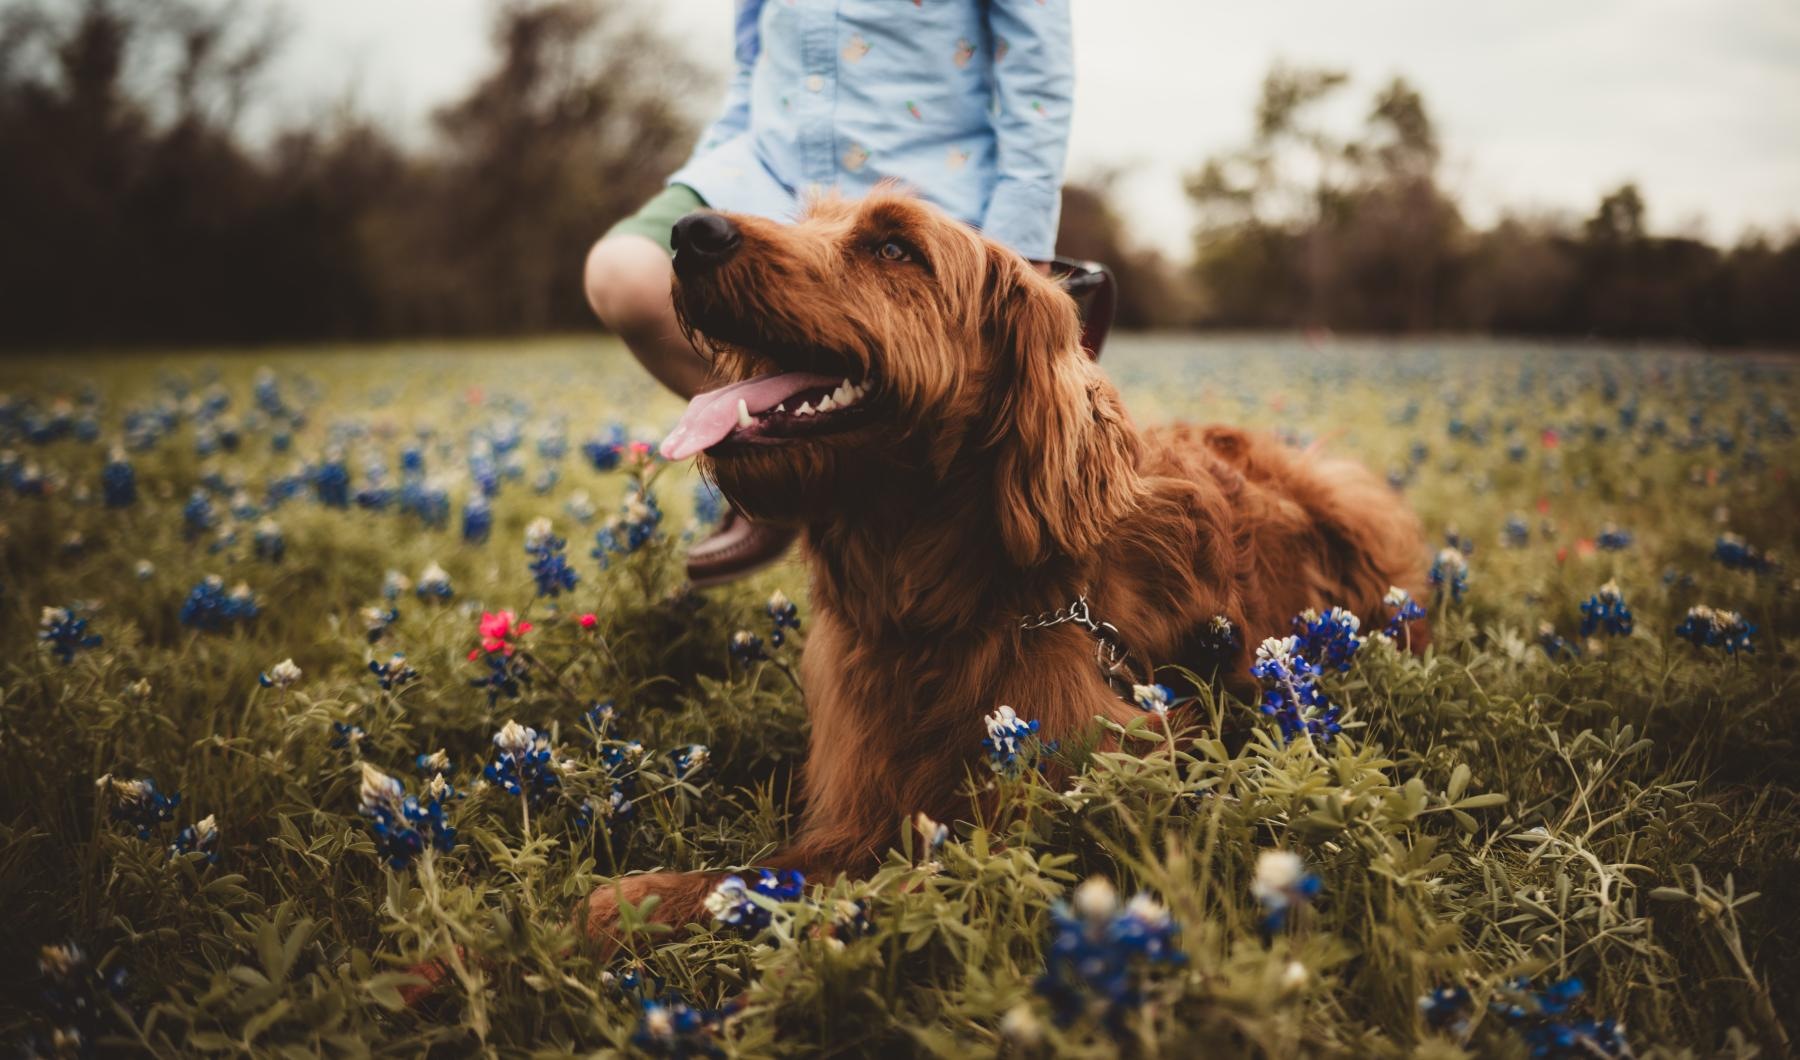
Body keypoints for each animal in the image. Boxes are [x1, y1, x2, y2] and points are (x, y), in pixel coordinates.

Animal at [583, 189, 1425, 943]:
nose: (693, 232)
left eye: (895, 248)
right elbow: (759, 876)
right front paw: (638, 900)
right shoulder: (859, 795)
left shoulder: (1071, 789)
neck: (936, 596)